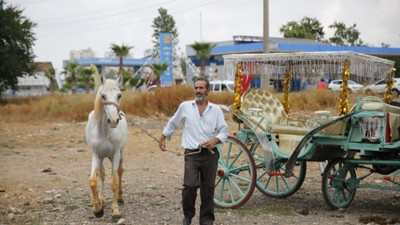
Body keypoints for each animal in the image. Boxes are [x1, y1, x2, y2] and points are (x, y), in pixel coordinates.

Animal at [85, 74, 127, 219]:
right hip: (102, 157)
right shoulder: (96, 155)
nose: (113, 121)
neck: (104, 132)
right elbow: (93, 180)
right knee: (102, 175)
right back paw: (101, 199)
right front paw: (98, 208)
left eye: (119, 95)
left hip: (120, 154)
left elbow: (114, 182)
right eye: (103, 96)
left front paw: (115, 211)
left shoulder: (115, 154)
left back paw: (120, 198)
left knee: (119, 172)